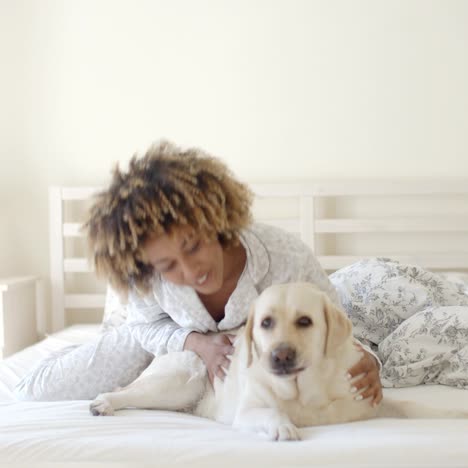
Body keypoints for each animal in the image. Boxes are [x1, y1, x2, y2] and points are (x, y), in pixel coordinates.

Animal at [89, 284, 466, 440]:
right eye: (266, 323)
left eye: (305, 321)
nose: (280, 354)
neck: (308, 390)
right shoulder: (247, 411)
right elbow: (271, 413)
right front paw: (283, 426)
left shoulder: (369, 399)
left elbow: (416, 407)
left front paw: (455, 414)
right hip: (180, 379)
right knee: (126, 391)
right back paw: (103, 403)